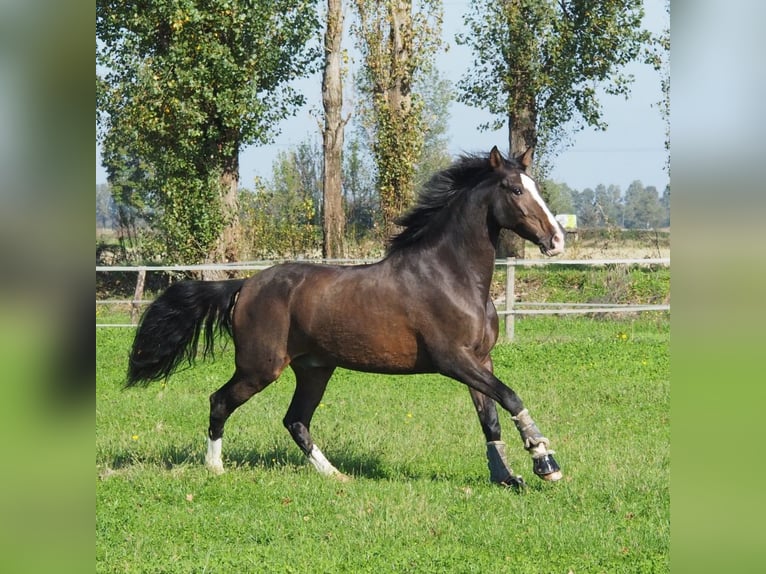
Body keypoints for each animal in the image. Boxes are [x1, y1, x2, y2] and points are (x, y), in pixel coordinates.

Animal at [126, 146, 568, 488]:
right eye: (515, 189)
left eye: (535, 187)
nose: (556, 240)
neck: (451, 276)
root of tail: (246, 285)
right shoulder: (453, 360)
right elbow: (510, 397)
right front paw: (545, 461)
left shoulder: (480, 360)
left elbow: (490, 418)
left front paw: (507, 477)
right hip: (259, 367)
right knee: (220, 402)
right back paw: (215, 468)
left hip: (314, 369)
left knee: (295, 420)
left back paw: (335, 474)